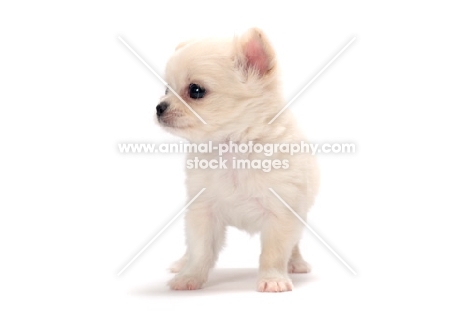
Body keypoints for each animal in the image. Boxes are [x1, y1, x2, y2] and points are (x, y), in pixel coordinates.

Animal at [156, 28, 318, 294]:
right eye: (167, 90)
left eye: (196, 91)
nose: (159, 107)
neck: (232, 149)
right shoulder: (203, 212)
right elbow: (200, 250)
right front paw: (190, 276)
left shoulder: (282, 214)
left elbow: (273, 254)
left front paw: (273, 278)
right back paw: (182, 263)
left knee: (294, 244)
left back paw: (296, 262)